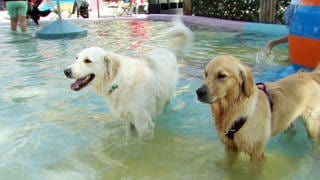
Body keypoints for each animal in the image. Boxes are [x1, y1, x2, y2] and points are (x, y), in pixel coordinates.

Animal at [63, 17, 191, 139]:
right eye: (76, 58)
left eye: (87, 61)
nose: (66, 71)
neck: (118, 83)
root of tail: (168, 50)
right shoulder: (129, 121)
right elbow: (128, 137)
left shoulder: (143, 124)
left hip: (167, 98)